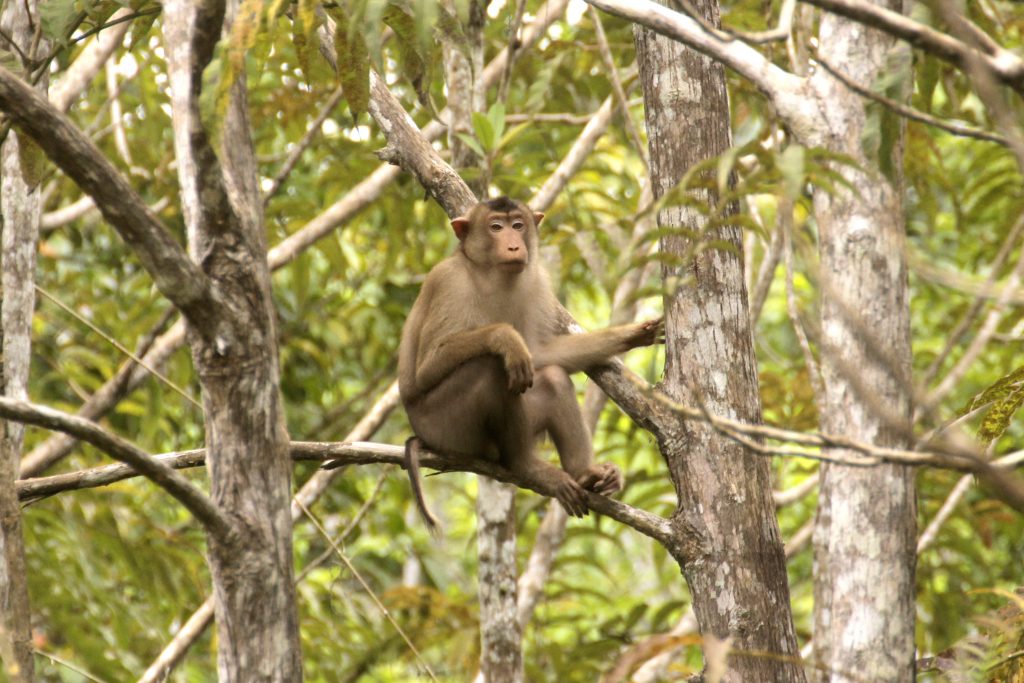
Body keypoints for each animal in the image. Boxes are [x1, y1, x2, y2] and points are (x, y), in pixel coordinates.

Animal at [395, 197, 659, 528]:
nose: (513, 245)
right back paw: (524, 466)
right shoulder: (447, 283)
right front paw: (505, 338)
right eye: (496, 227)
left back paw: (584, 474)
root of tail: (422, 434)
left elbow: (540, 354)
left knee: (552, 378)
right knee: (489, 367)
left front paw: (632, 334)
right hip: (448, 430)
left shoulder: (535, 282)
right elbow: (426, 368)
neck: (489, 273)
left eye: (518, 225)